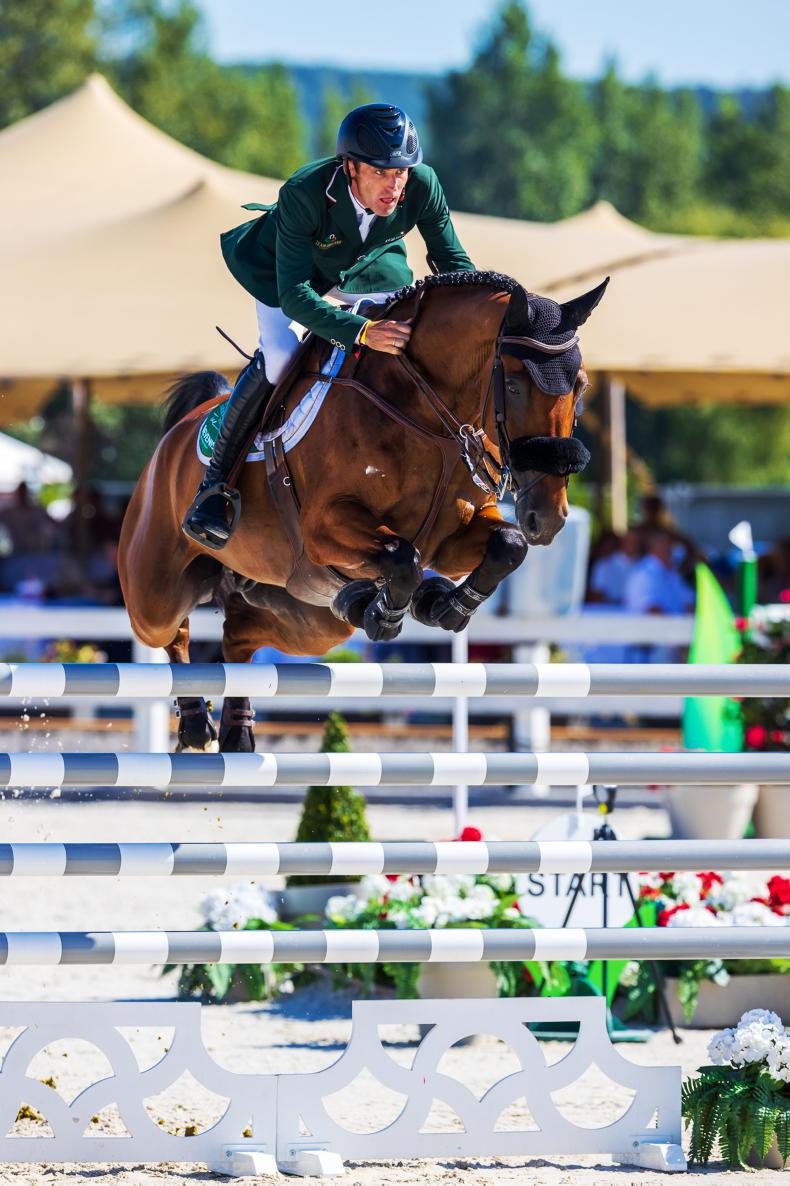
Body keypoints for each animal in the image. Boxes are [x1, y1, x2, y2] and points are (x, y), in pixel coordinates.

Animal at [118, 270, 607, 753]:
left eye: (581, 385)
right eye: (514, 385)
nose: (549, 518)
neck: (425, 414)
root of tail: (174, 440)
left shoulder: (450, 543)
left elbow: (507, 545)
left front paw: (445, 606)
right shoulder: (324, 527)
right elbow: (403, 557)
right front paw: (390, 613)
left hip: (304, 617)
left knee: (238, 636)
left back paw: (242, 725)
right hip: (156, 594)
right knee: (172, 633)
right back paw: (195, 721)